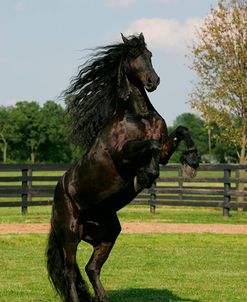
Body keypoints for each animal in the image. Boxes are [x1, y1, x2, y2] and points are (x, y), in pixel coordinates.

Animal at [46, 33, 199, 302]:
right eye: (132, 56)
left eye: (149, 55)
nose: (153, 81)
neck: (138, 117)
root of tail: (57, 195)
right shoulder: (123, 156)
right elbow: (150, 147)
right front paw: (145, 176)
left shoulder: (165, 150)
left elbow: (181, 130)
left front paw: (192, 161)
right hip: (70, 235)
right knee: (70, 272)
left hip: (108, 233)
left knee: (91, 268)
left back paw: (104, 298)